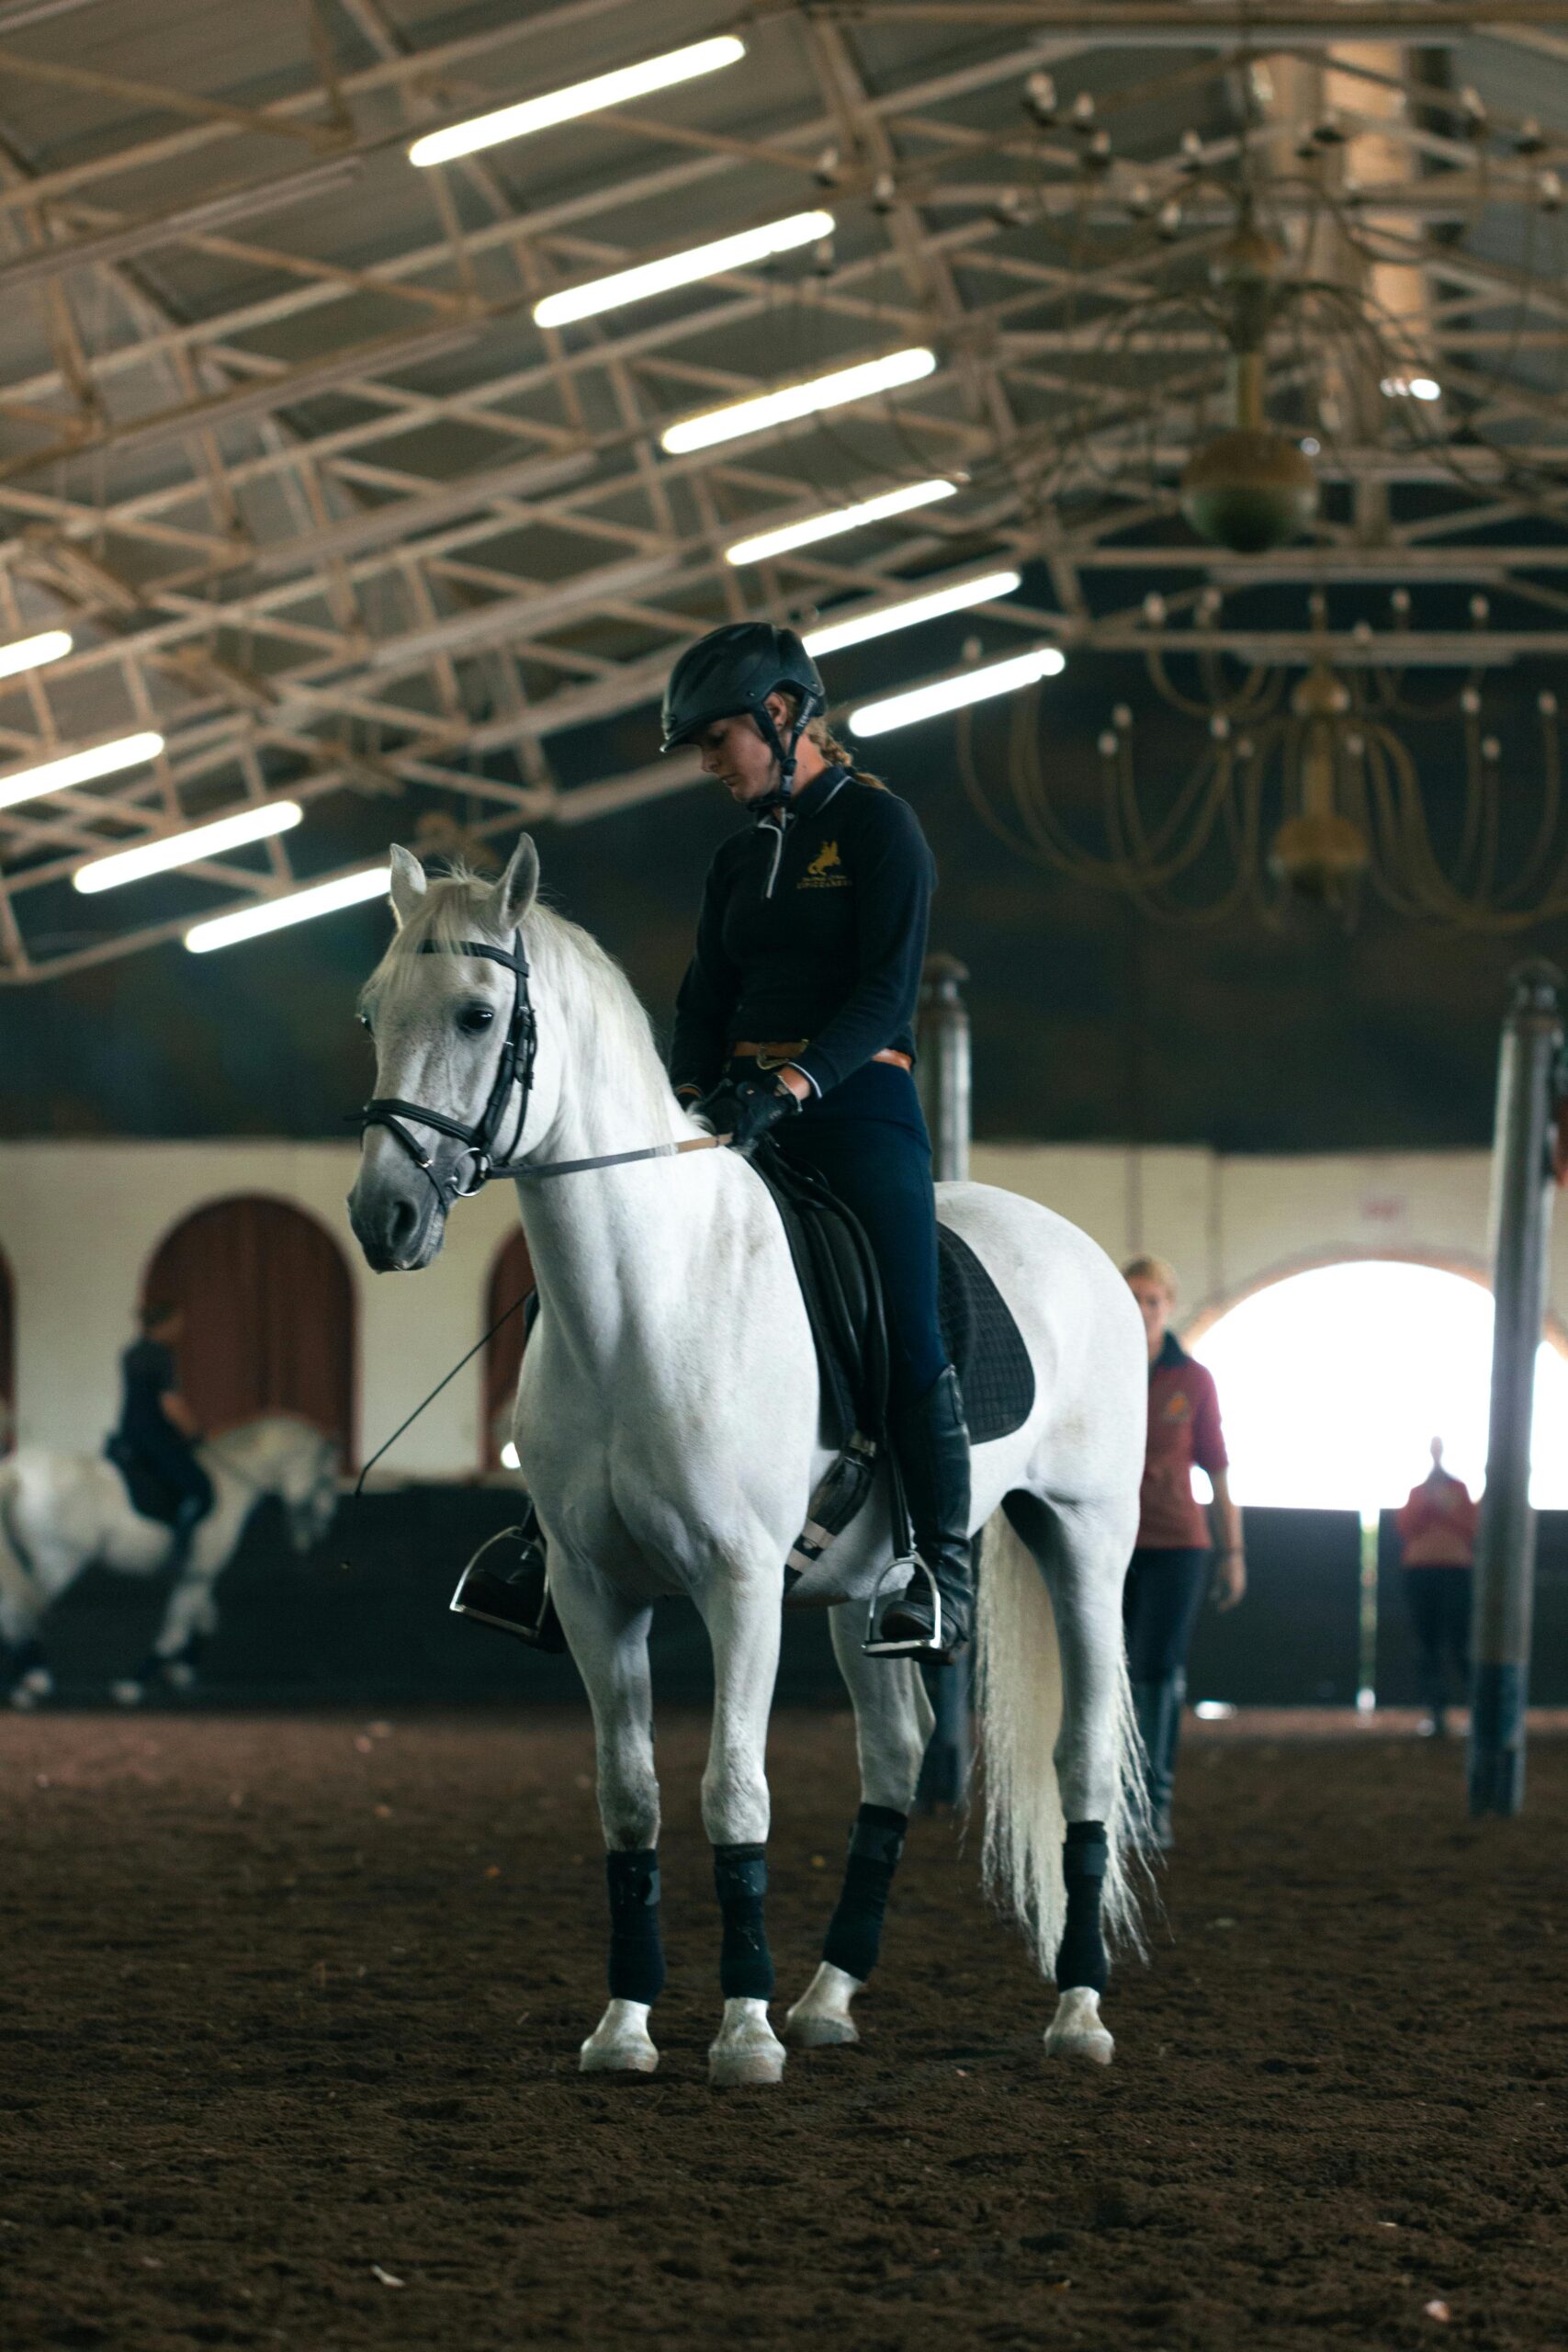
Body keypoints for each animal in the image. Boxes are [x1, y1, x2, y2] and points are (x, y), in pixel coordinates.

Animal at [0, 1411, 341, 1712]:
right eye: (326, 1478)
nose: (323, 1528)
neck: (231, 1482)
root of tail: (18, 1469)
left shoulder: (194, 1574)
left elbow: (204, 1621)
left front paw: (181, 1672)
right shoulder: (200, 1572)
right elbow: (173, 1632)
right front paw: (132, 1686)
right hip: (59, 1561)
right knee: (20, 1611)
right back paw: (33, 1682)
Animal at [350, 837, 1146, 2088]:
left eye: (479, 1014)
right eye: (374, 1011)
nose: (382, 1216)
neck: (645, 1299)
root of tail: (1081, 1249)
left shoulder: (737, 1584)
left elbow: (734, 1788)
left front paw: (742, 2031)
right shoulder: (595, 1592)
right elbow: (630, 1798)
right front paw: (627, 2023)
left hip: (1085, 1541)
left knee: (1080, 1757)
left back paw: (1076, 2010)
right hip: (865, 1591)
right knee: (894, 1756)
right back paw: (830, 1994)